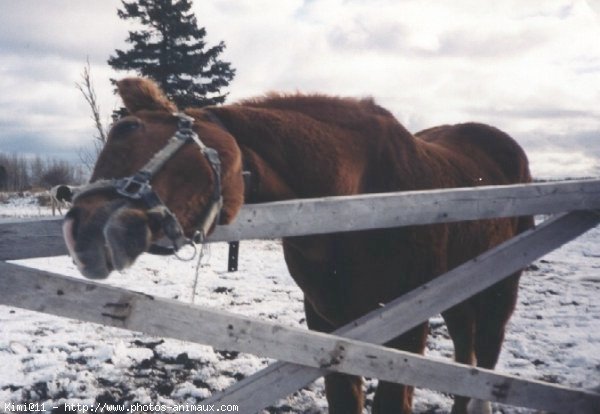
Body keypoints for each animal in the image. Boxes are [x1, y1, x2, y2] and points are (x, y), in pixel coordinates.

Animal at [64, 78, 536, 414]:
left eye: (130, 129)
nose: (80, 230)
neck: (358, 203)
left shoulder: (407, 326)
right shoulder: (329, 324)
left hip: (499, 289)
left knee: (484, 359)